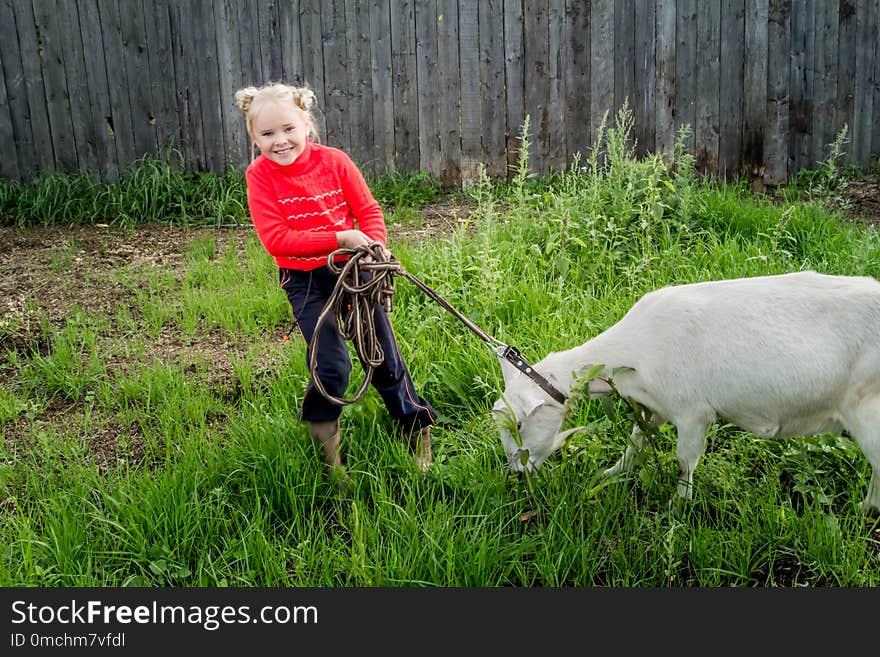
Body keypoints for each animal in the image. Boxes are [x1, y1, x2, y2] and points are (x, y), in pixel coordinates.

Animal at [492, 272, 880, 512]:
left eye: (519, 425)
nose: (515, 475)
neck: (635, 347)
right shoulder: (656, 406)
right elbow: (636, 441)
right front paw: (609, 474)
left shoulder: (693, 412)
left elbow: (683, 462)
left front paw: (676, 509)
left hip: (867, 409)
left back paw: (864, 508)